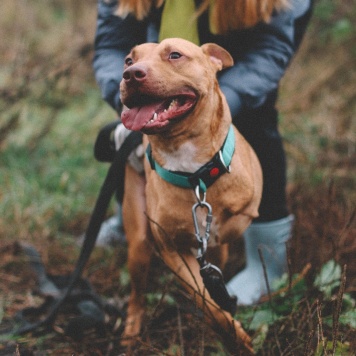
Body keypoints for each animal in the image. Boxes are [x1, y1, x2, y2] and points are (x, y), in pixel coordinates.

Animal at [119, 37, 262, 352]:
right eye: (128, 60)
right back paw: (131, 332)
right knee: (136, 292)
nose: (131, 74)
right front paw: (235, 336)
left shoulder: (234, 225)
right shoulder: (173, 251)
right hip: (139, 245)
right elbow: (207, 302)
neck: (194, 173)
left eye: (175, 55)